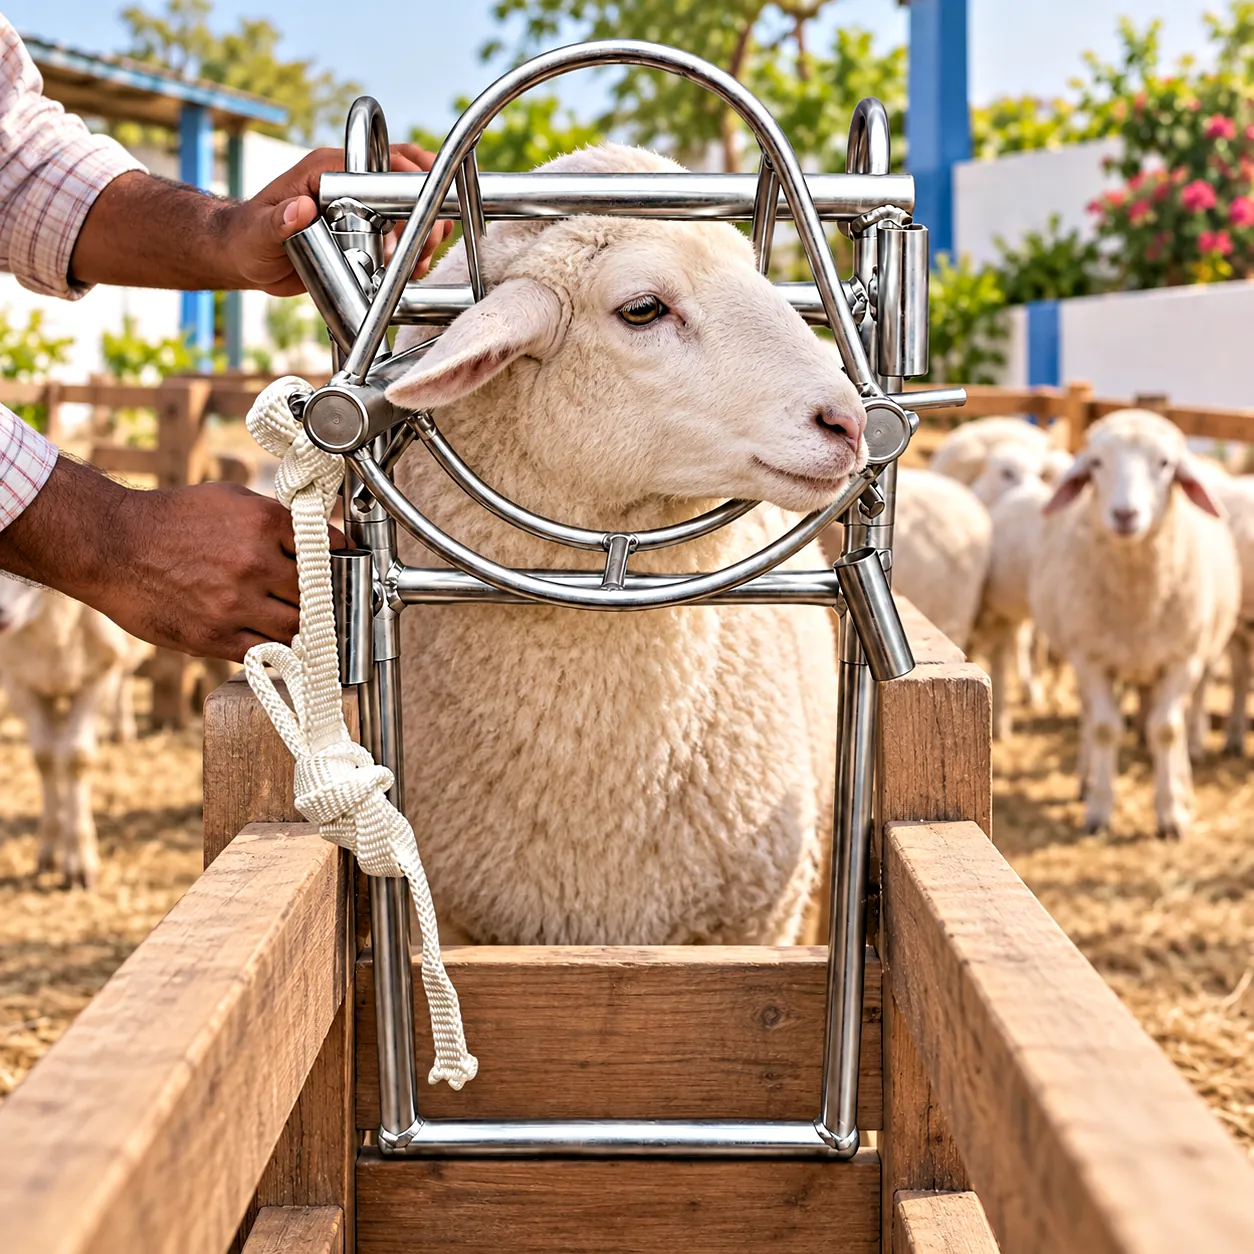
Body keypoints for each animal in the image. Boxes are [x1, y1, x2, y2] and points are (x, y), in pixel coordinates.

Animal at [0, 577, 152, 887]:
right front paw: (49, 850)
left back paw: (122, 727)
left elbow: (76, 759)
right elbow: (44, 758)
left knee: (126, 675)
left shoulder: (96, 678)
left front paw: (79, 864)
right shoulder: (20, 682)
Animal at [1028, 410, 1239, 839]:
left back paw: (1183, 785)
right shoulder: (1090, 659)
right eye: (1095, 464)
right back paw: (1086, 778)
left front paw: (1172, 814)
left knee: (1180, 722)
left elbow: (1166, 730)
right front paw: (1098, 810)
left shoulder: (1183, 660)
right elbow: (1106, 728)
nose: (1125, 515)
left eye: (1166, 464)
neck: (1137, 602)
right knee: (1090, 717)